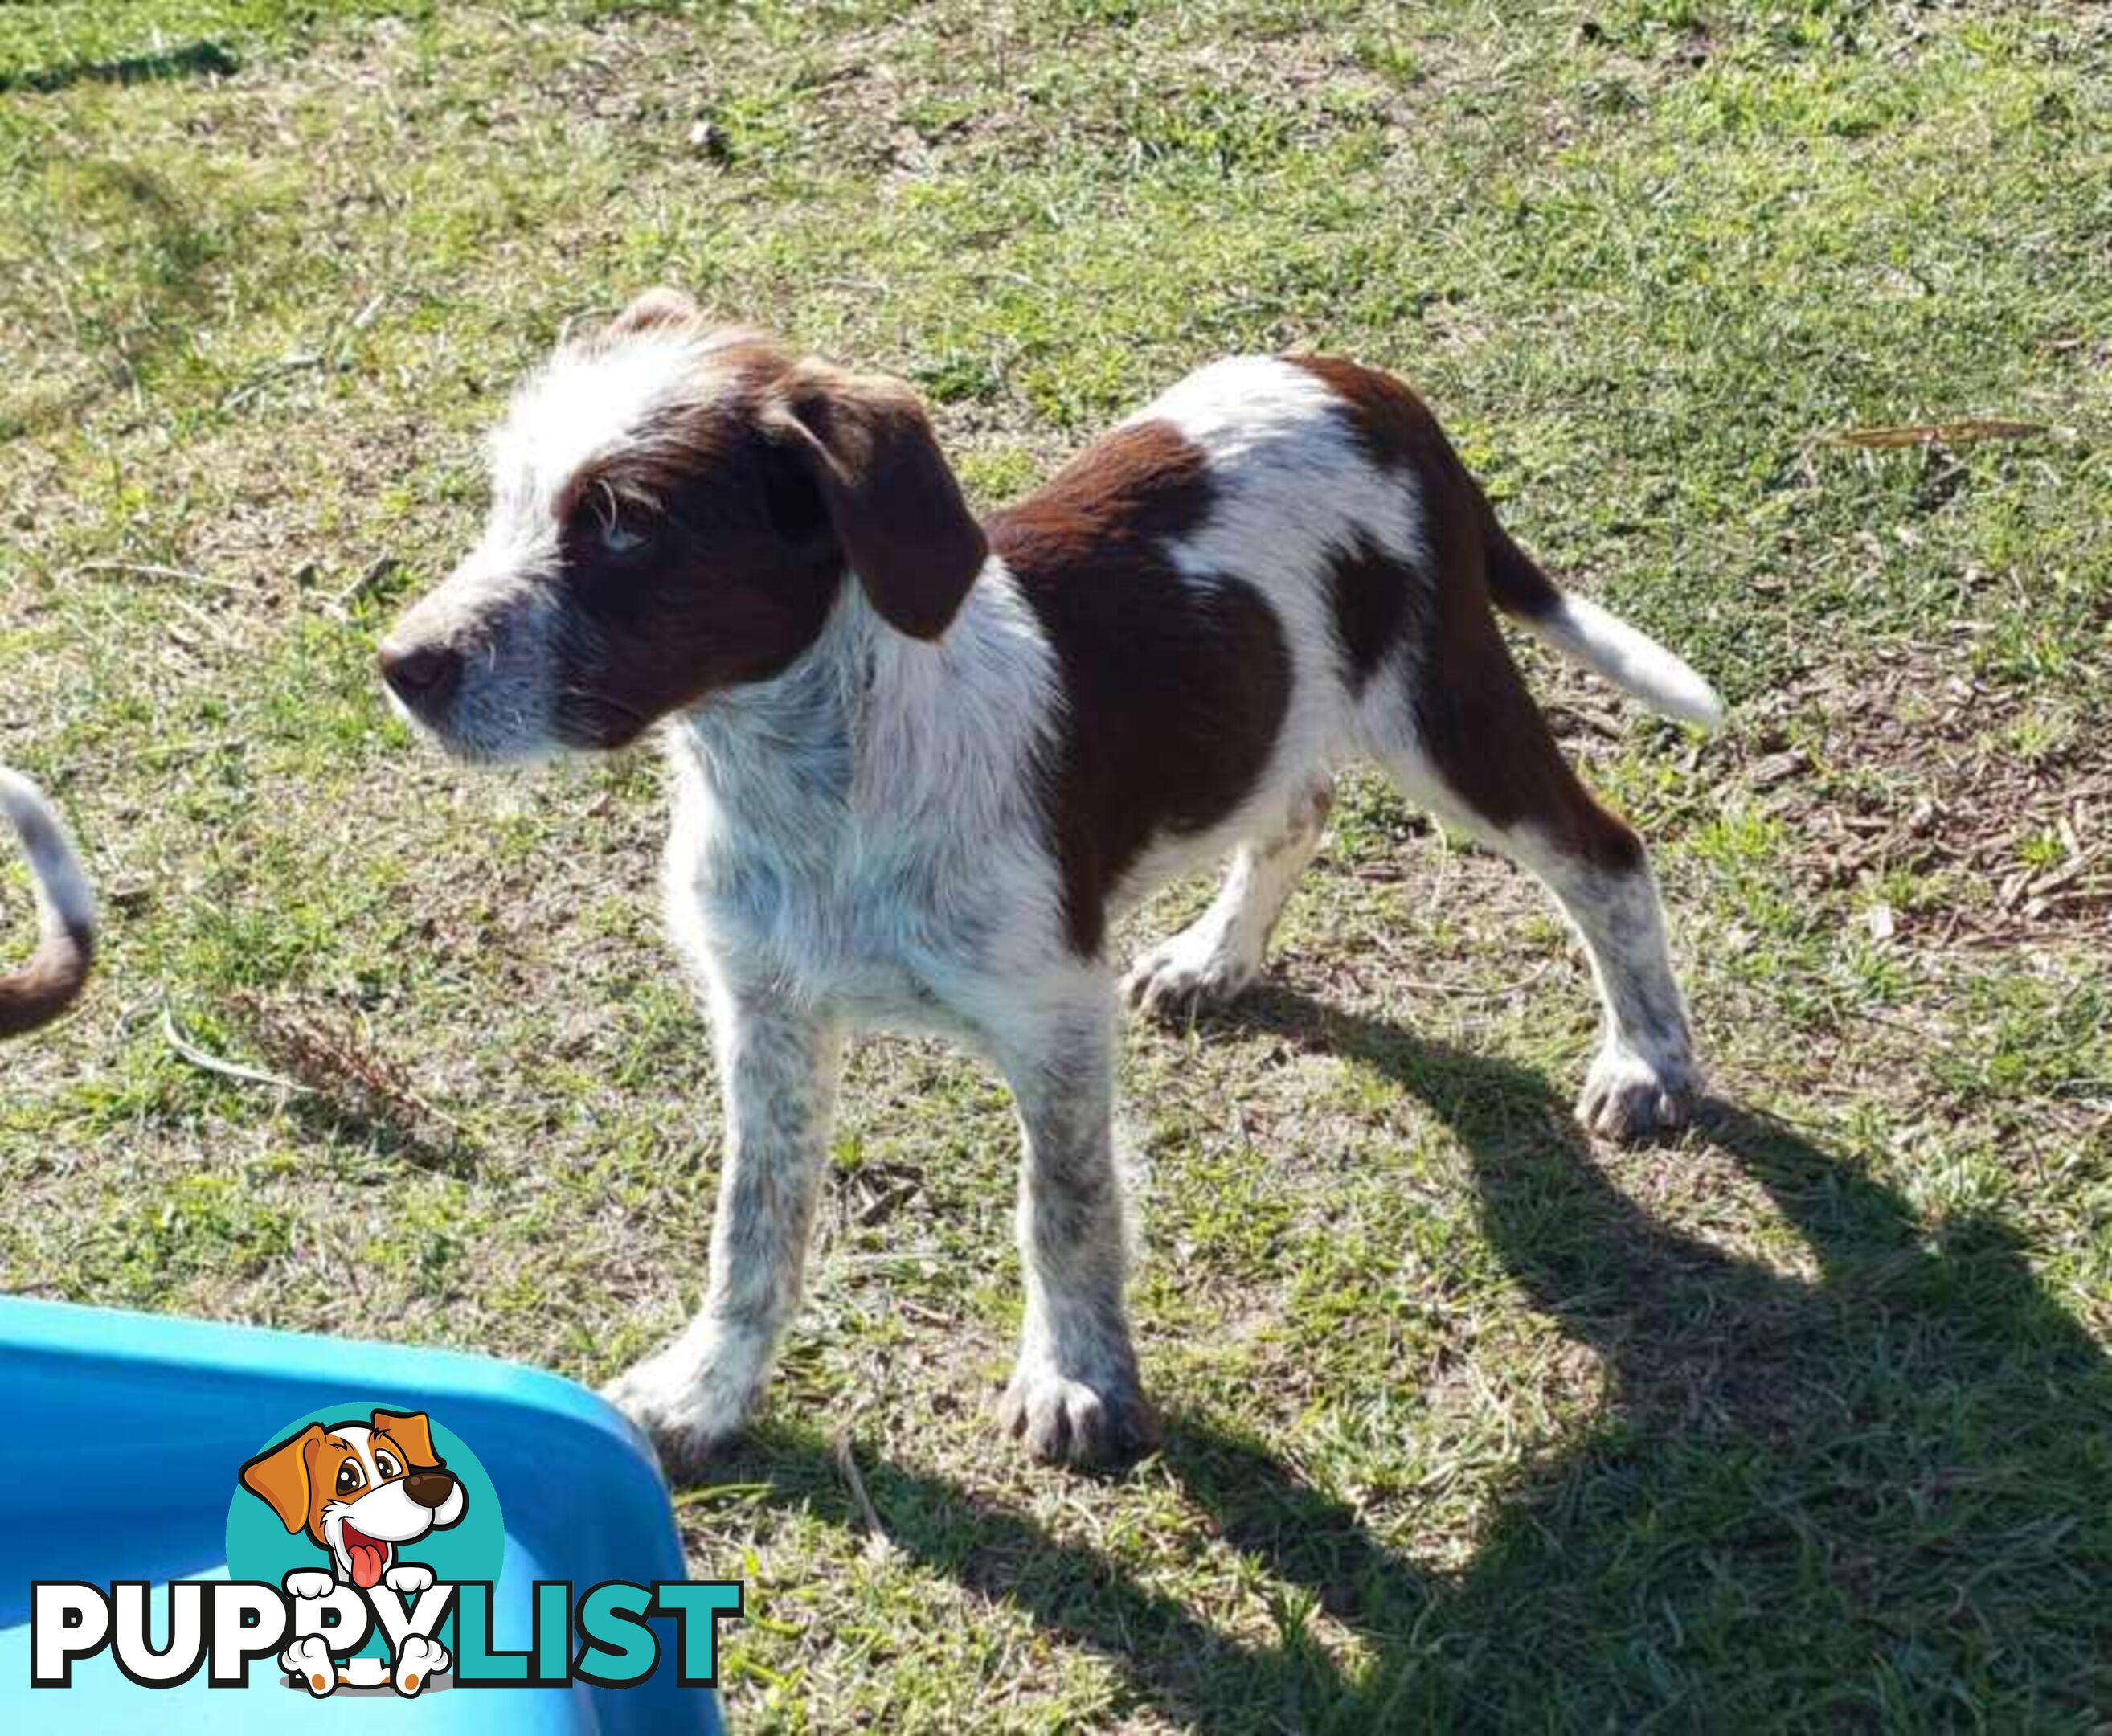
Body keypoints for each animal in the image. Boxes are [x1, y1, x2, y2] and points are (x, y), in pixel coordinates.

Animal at [384, 291, 1731, 1478]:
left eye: (626, 525)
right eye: (510, 500)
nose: (401, 664)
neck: (819, 784)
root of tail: (1368, 386)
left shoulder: (1054, 1014)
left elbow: (1066, 1207)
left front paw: (1079, 1378)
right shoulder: (768, 1013)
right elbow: (752, 1227)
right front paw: (710, 1386)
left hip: (1442, 708)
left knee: (1605, 855)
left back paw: (1649, 1063)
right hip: (1293, 704)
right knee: (1300, 803)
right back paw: (1216, 958)